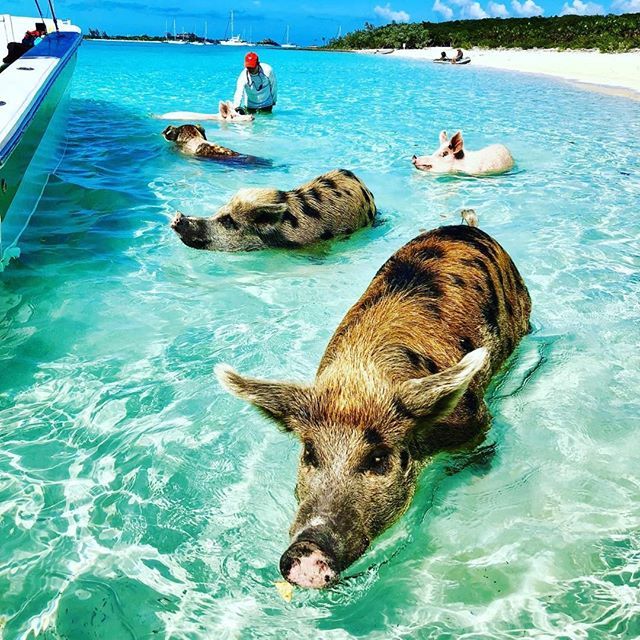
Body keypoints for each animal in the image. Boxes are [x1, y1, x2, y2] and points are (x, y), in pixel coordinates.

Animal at [216, 223, 531, 588]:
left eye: (378, 458)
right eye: (309, 452)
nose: (307, 550)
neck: (360, 379)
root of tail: (466, 227)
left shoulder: (475, 421)